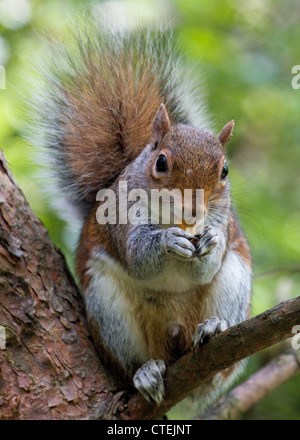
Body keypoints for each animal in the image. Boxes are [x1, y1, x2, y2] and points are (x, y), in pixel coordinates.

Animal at [31, 21, 252, 420]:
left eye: (225, 170)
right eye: (161, 162)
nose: (193, 211)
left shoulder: (225, 226)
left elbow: (207, 265)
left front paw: (208, 240)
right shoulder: (120, 220)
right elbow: (138, 257)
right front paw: (167, 242)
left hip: (235, 281)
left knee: (216, 370)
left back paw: (212, 334)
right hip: (107, 306)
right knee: (135, 360)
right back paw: (146, 373)